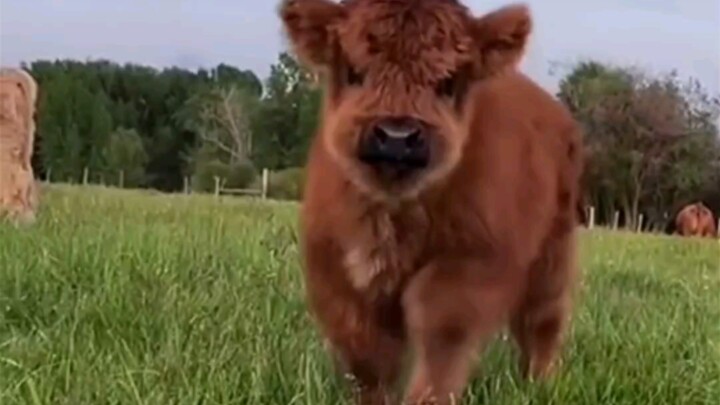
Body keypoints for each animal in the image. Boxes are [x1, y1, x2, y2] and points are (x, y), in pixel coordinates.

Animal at [280, 1, 584, 402]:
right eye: (355, 72)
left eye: (447, 82)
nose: (397, 136)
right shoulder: (336, 271)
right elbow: (366, 353)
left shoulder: (470, 263)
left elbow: (442, 337)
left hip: (553, 253)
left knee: (541, 322)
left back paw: (540, 384)